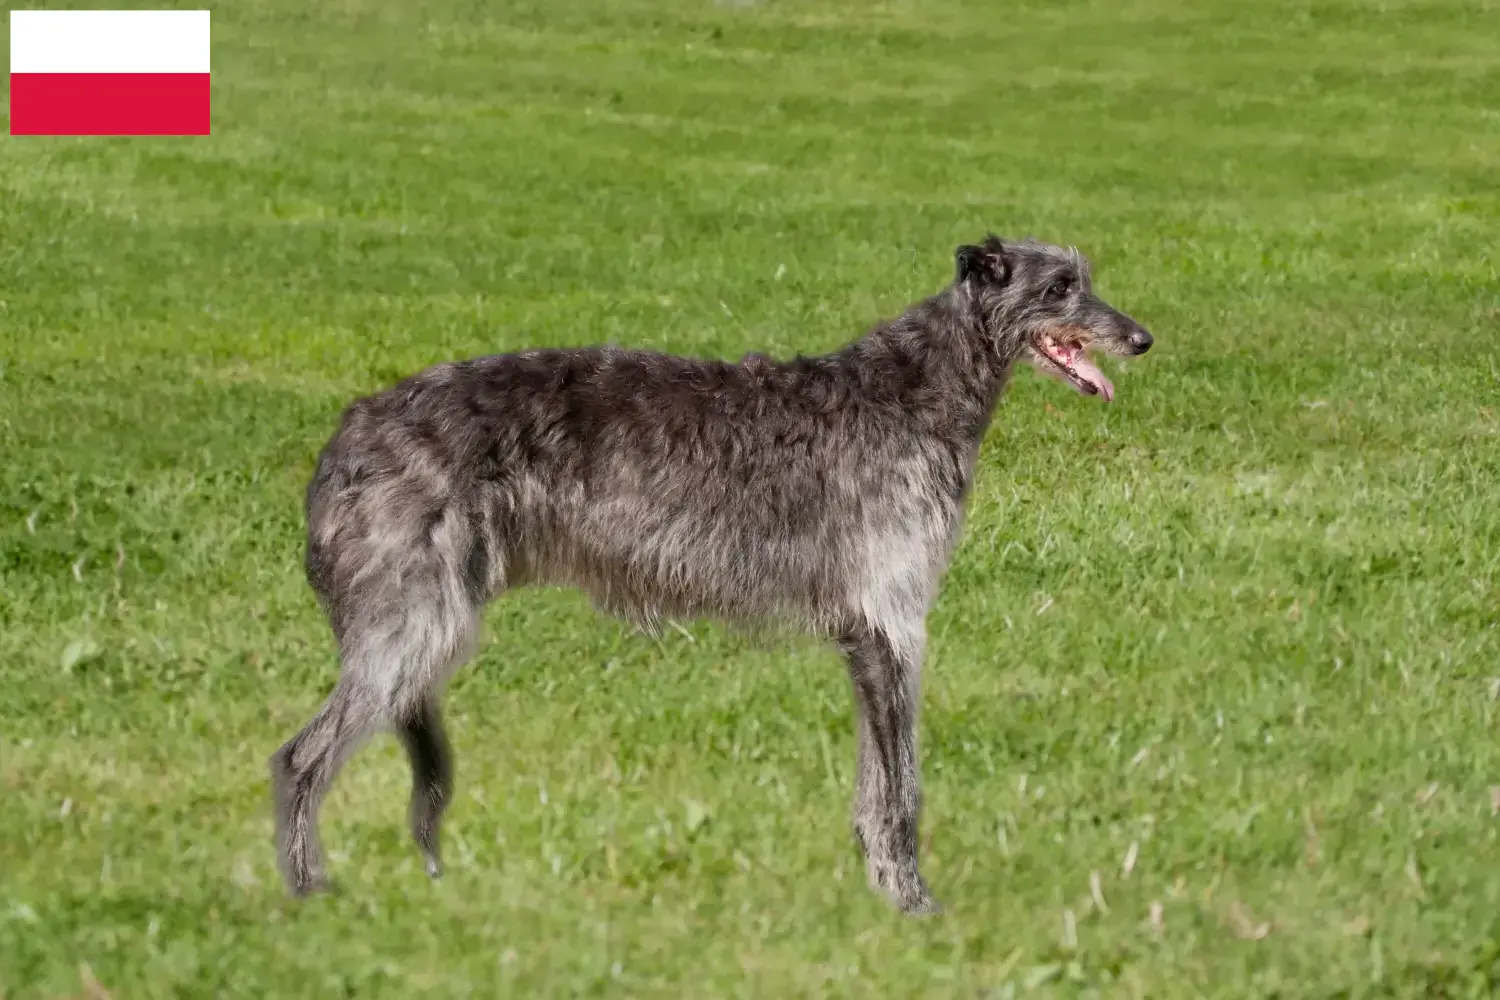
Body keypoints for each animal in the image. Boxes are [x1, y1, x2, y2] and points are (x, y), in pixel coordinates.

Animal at [270, 235, 1152, 917]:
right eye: (1060, 287)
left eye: (1086, 277)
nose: (1142, 338)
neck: (917, 392)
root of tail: (346, 435)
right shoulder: (891, 625)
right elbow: (901, 789)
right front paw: (914, 904)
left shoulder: (867, 637)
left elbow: (874, 788)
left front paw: (879, 891)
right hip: (415, 624)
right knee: (298, 758)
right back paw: (309, 894)